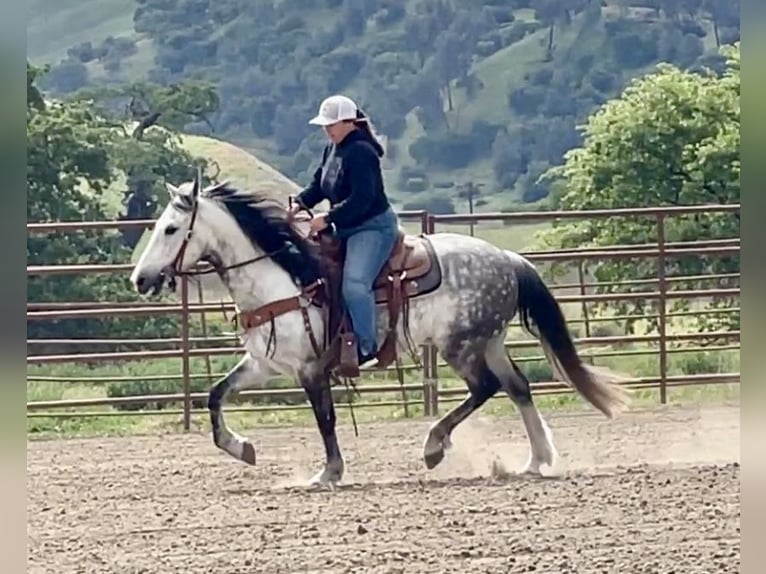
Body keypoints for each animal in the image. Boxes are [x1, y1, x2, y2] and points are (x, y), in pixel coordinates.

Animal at [127, 174, 632, 486]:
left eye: (171, 229)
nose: (140, 279)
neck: (283, 277)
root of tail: (507, 259)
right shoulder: (265, 364)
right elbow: (214, 396)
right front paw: (242, 448)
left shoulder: (311, 368)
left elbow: (325, 419)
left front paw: (329, 473)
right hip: (488, 341)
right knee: (518, 387)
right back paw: (536, 460)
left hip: (461, 346)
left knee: (486, 388)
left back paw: (434, 446)